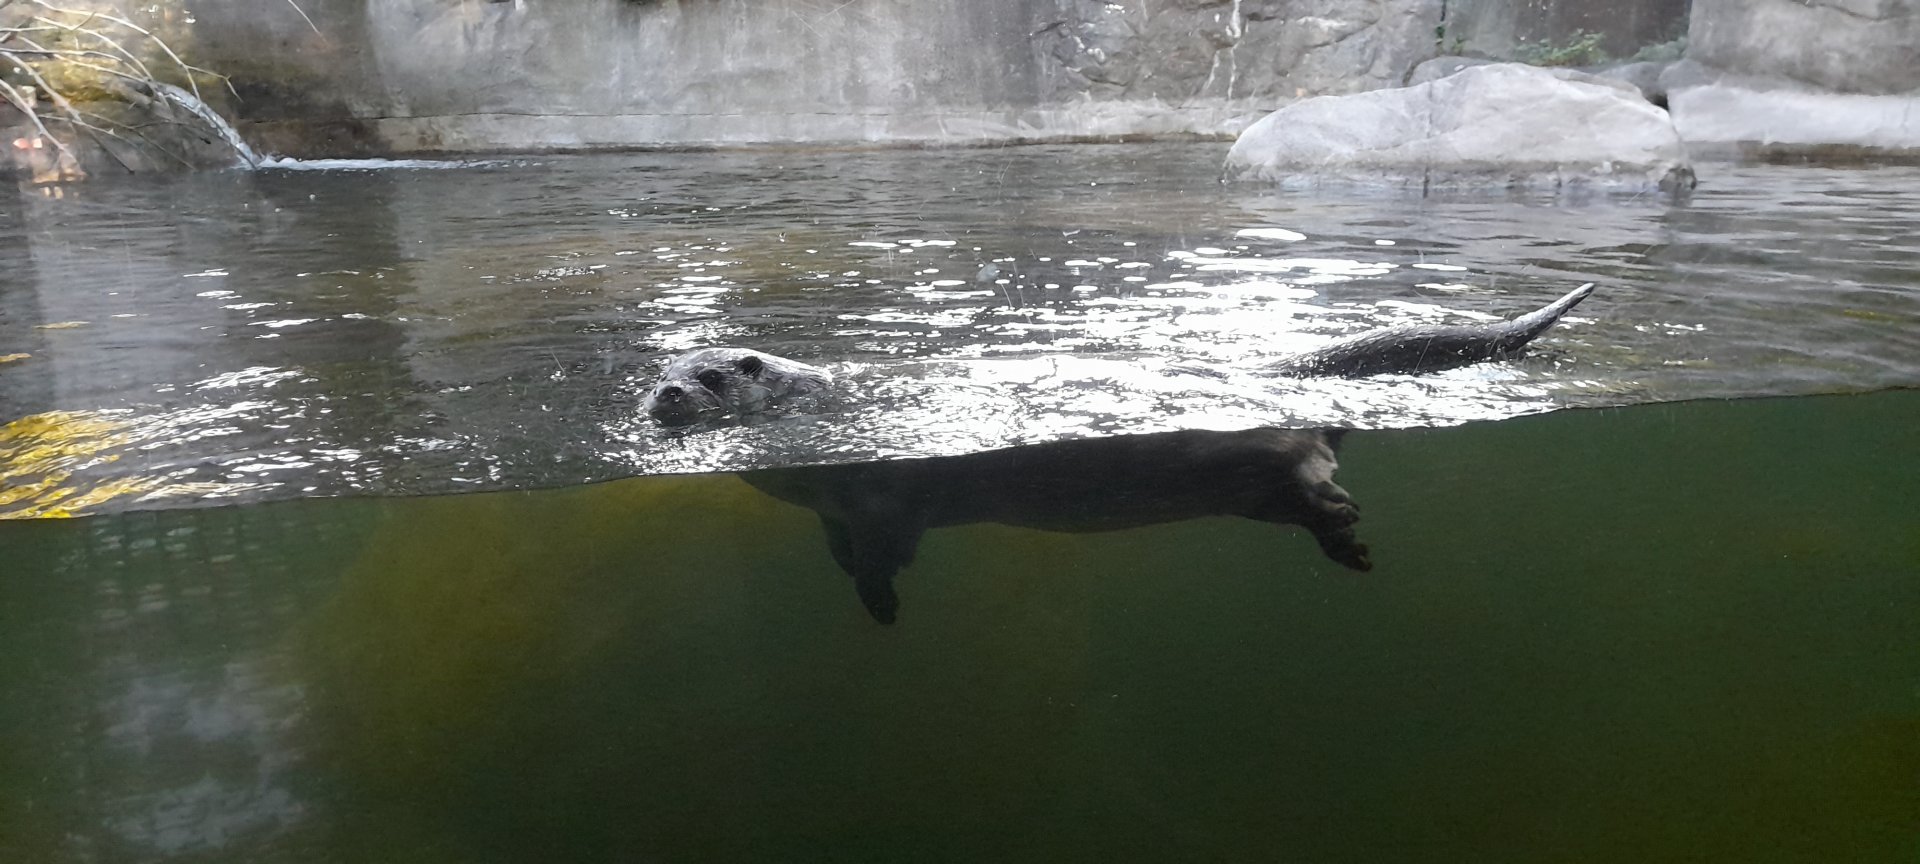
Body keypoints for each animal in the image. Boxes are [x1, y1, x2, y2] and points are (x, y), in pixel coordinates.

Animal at [742, 427, 1366, 624]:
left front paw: (881, 603)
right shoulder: (837, 510)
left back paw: (1342, 517)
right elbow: (840, 542)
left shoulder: (884, 500)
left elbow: (882, 551)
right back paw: (1349, 546)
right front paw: (851, 566)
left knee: (1310, 474)